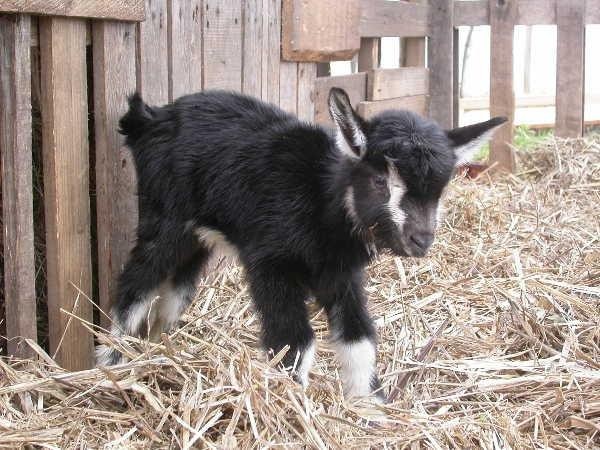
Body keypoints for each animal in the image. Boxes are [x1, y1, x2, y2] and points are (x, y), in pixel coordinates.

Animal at [96, 87, 506, 402]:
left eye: (441, 188)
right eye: (380, 180)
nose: (421, 240)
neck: (320, 200)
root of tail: (150, 118)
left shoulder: (340, 275)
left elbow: (359, 337)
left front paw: (370, 406)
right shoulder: (271, 265)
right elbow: (295, 343)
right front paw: (293, 405)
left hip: (197, 236)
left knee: (176, 290)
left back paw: (161, 351)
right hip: (164, 220)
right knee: (135, 284)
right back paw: (109, 361)